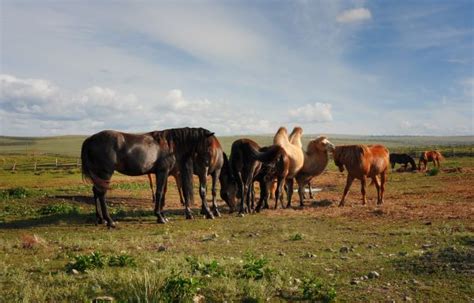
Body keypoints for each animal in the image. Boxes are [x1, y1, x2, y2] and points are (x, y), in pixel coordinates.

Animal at [80, 127, 217, 227]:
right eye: (208, 144)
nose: (207, 164)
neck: (170, 145)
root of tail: (90, 139)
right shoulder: (162, 172)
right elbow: (159, 193)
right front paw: (160, 217)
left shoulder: (163, 173)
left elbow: (162, 193)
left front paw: (163, 216)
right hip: (105, 173)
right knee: (102, 194)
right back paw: (109, 221)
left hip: (98, 174)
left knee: (96, 192)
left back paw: (100, 219)